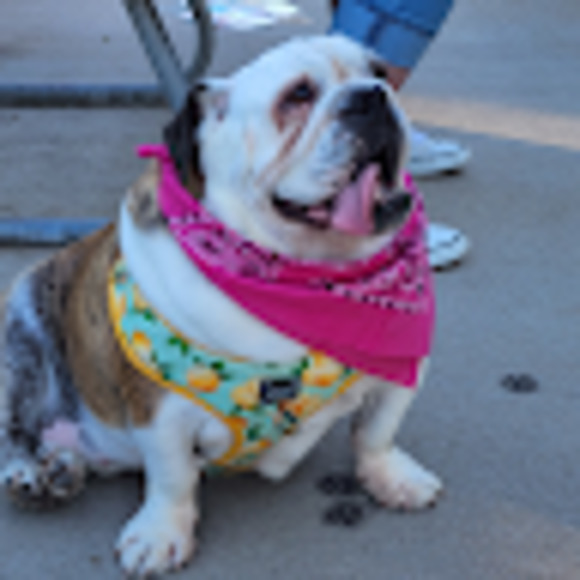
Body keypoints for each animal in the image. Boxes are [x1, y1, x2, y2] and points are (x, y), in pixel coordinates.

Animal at [0, 35, 442, 577]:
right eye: (297, 96)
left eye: (380, 73)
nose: (373, 95)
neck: (301, 275)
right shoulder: (158, 411)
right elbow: (173, 477)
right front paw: (162, 532)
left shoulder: (402, 370)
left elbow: (377, 430)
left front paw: (390, 476)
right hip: (19, 332)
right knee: (13, 431)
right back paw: (30, 475)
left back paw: (62, 465)